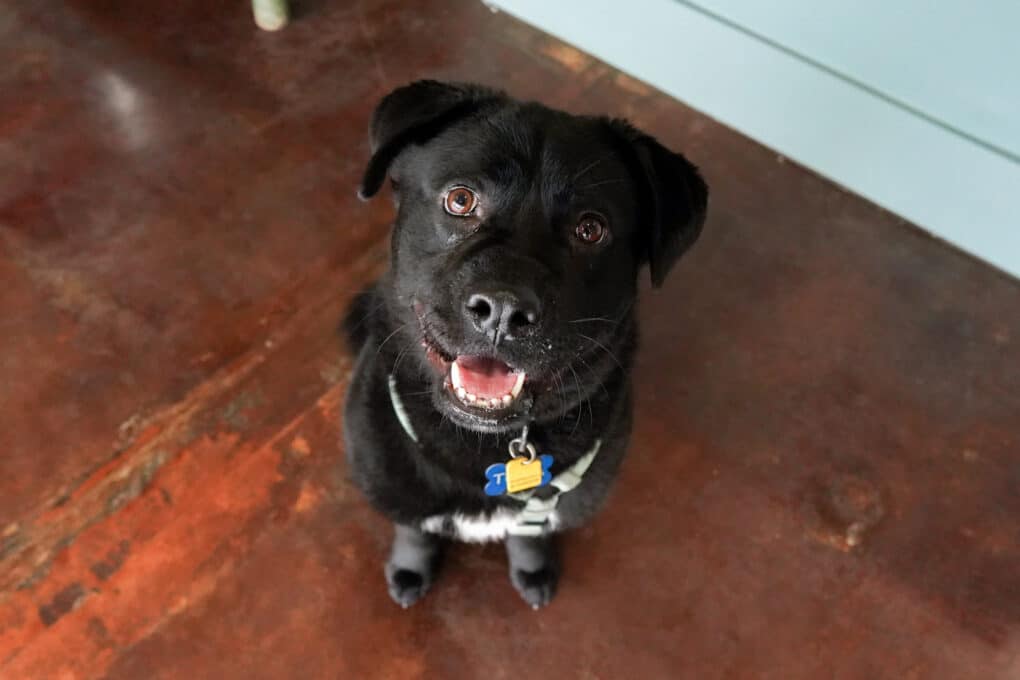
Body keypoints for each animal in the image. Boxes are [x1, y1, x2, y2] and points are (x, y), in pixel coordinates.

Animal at [343, 80, 708, 609]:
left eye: (590, 229)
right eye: (460, 199)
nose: (503, 310)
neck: (491, 447)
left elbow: (529, 534)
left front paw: (532, 567)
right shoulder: (394, 480)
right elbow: (414, 529)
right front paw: (410, 567)